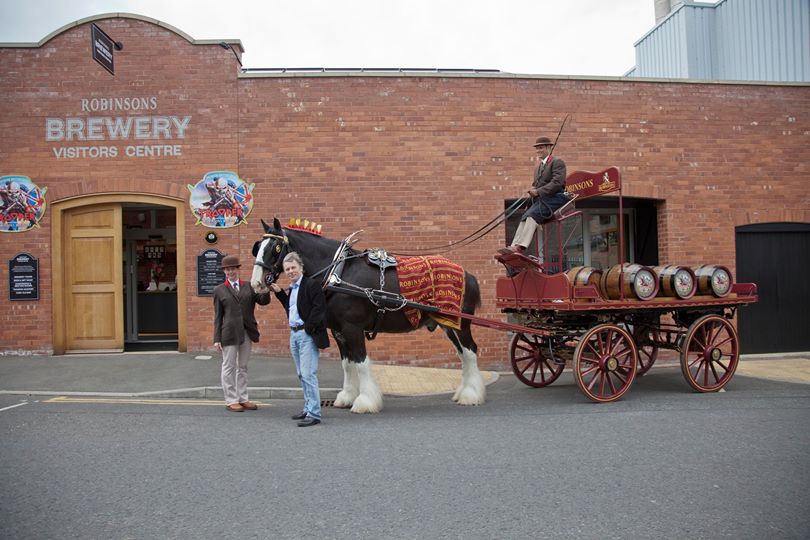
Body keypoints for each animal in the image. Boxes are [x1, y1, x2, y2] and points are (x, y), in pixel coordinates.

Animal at [249, 216, 482, 414]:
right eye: (258, 248)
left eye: (275, 247)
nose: (256, 283)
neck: (337, 272)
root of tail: (468, 274)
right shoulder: (339, 331)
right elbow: (348, 364)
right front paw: (347, 397)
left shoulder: (353, 327)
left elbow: (361, 361)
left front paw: (365, 401)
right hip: (448, 324)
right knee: (462, 354)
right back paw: (463, 392)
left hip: (461, 323)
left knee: (470, 351)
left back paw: (471, 395)